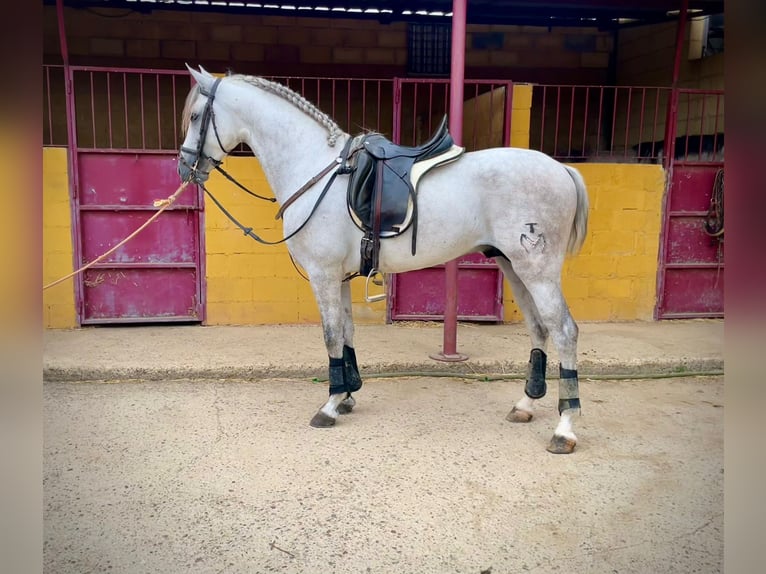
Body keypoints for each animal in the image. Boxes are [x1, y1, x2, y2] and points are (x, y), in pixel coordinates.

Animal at [177, 66, 592, 454]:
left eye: (196, 116)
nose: (184, 168)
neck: (314, 168)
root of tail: (562, 169)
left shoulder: (323, 274)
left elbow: (330, 335)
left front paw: (329, 405)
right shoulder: (340, 276)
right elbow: (346, 332)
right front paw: (347, 395)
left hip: (536, 269)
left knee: (564, 330)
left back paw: (564, 428)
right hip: (512, 266)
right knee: (539, 328)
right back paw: (525, 405)